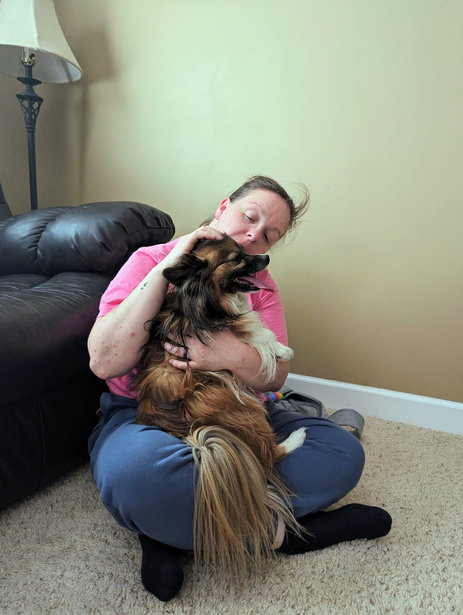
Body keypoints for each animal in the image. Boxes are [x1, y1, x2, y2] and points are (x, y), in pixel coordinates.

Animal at [135, 235, 304, 576]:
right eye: (236, 258)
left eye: (244, 251)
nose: (266, 257)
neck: (206, 299)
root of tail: (194, 429)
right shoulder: (231, 329)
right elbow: (259, 333)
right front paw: (282, 349)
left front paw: (281, 350)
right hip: (245, 409)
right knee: (272, 453)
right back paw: (298, 437)